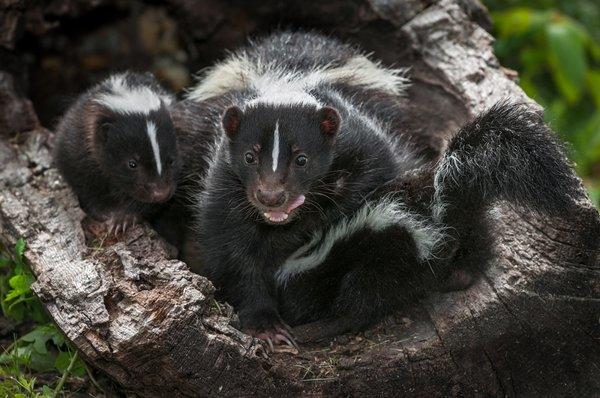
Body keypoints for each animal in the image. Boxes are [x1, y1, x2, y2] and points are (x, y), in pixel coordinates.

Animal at [54, 72, 179, 233]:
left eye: (171, 161)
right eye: (132, 164)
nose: (161, 193)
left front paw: (124, 217)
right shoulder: (76, 143)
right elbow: (81, 179)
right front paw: (104, 211)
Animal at [182, 32, 576, 346]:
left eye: (302, 159)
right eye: (249, 157)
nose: (271, 196)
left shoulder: (368, 148)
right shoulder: (223, 181)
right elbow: (232, 251)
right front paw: (267, 326)